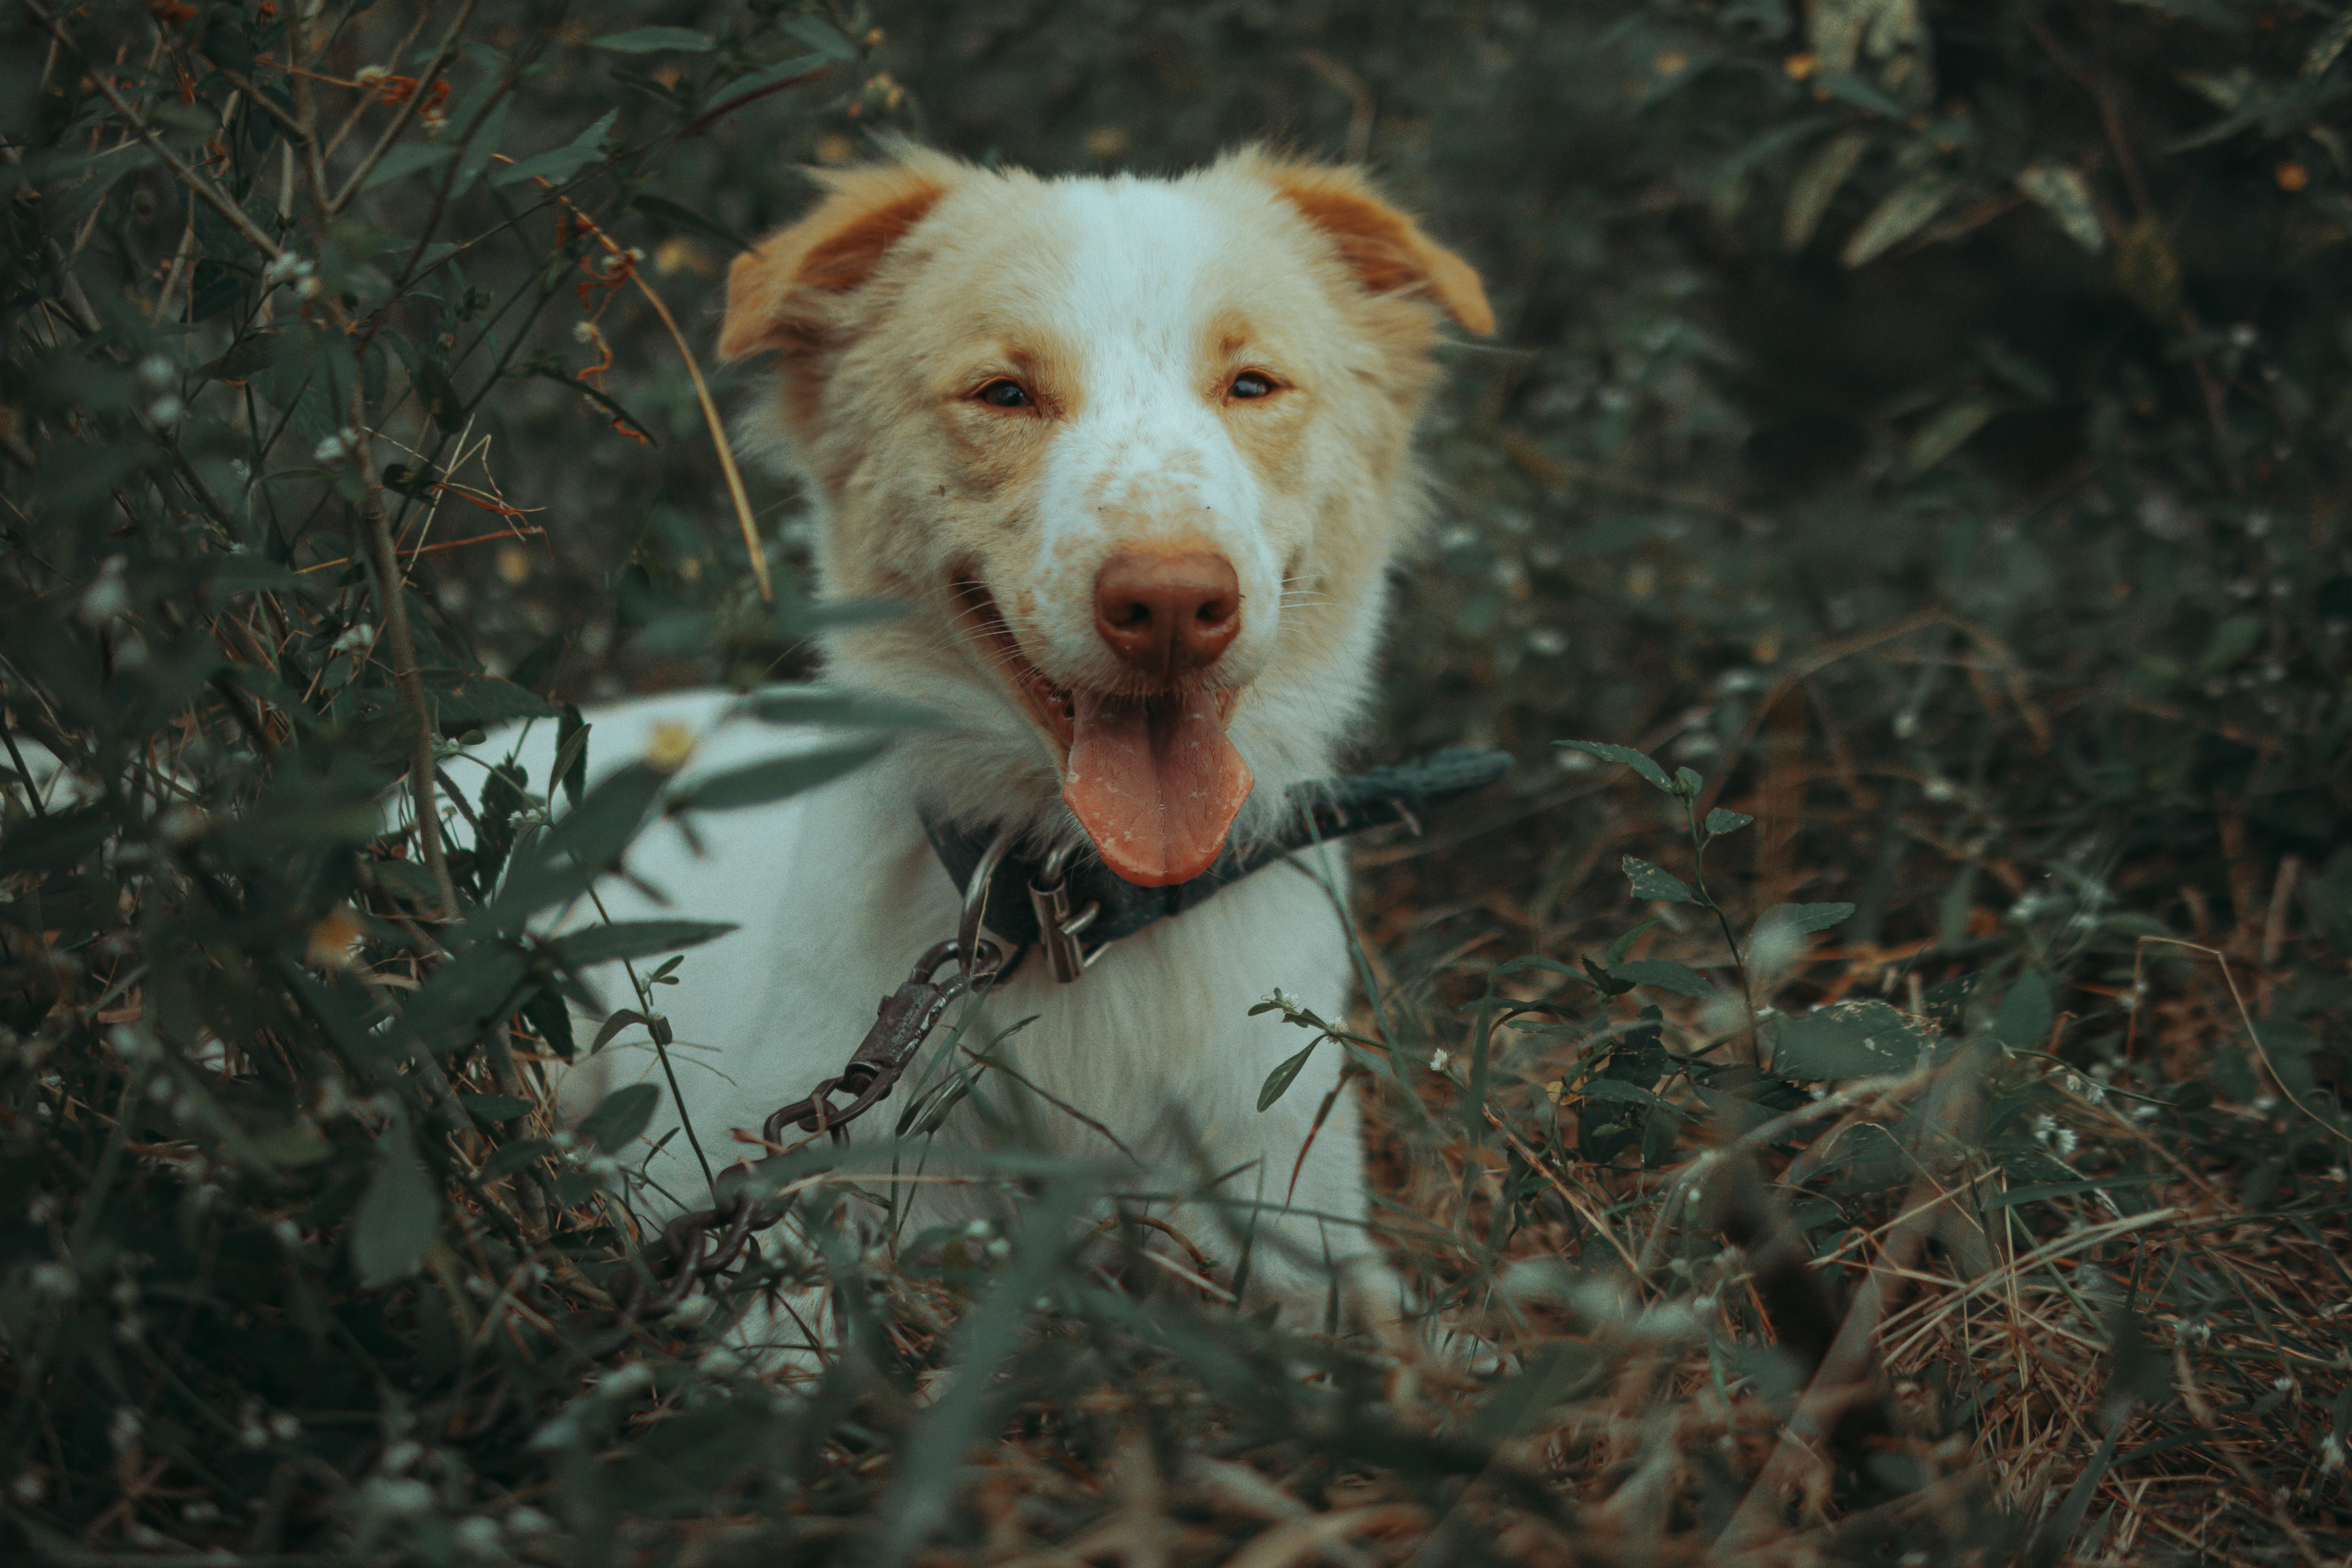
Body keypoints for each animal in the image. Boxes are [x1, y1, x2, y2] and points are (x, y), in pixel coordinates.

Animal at [501, 144, 1486, 1354]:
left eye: (1253, 385)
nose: (1172, 606)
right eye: (1005, 394)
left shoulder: (1303, 1222)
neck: (1077, 911)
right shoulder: (805, 1243)